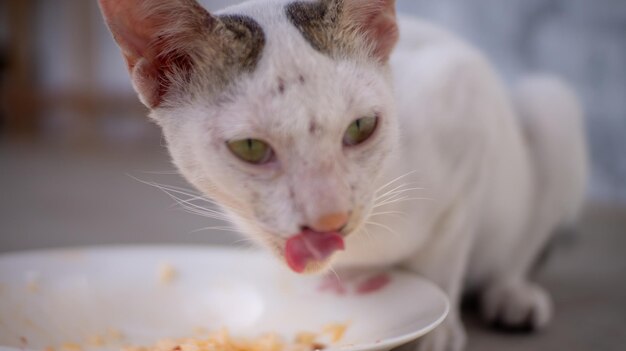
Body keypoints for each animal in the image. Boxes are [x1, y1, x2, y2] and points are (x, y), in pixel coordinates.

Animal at [97, 1, 584, 350]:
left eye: (361, 127)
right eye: (251, 148)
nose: (329, 218)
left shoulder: (466, 97)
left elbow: (445, 255)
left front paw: (436, 331)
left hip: (550, 100)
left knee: (519, 246)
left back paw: (511, 294)